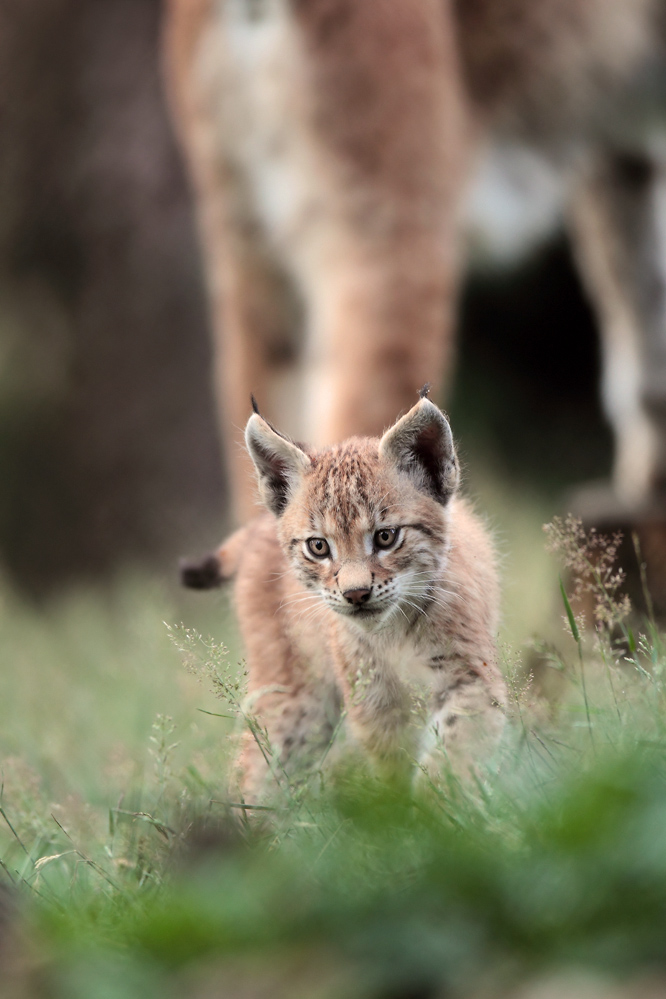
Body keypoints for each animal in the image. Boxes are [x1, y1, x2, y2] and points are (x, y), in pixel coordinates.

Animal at [182, 392, 504, 804]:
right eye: (319, 546)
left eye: (386, 537)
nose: (356, 594)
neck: (394, 629)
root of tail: (258, 524)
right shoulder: (371, 695)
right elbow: (395, 760)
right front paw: (412, 811)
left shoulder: (470, 674)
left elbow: (457, 743)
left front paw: (441, 802)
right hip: (296, 699)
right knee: (257, 769)